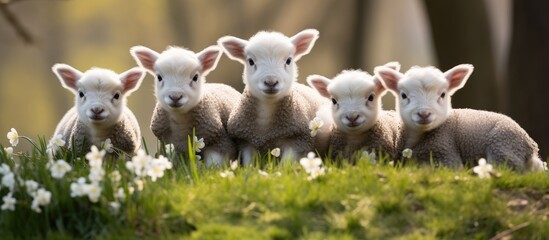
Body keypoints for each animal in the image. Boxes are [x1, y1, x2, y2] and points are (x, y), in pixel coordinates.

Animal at [218, 27, 330, 163]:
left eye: (288, 60)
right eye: (251, 61)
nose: (270, 82)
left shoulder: (297, 141)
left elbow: (286, 164)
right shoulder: (246, 142)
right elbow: (249, 164)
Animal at [372, 63, 544, 171]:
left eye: (443, 94)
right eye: (403, 95)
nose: (424, 114)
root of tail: (531, 146)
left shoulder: (446, 153)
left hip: (502, 147)